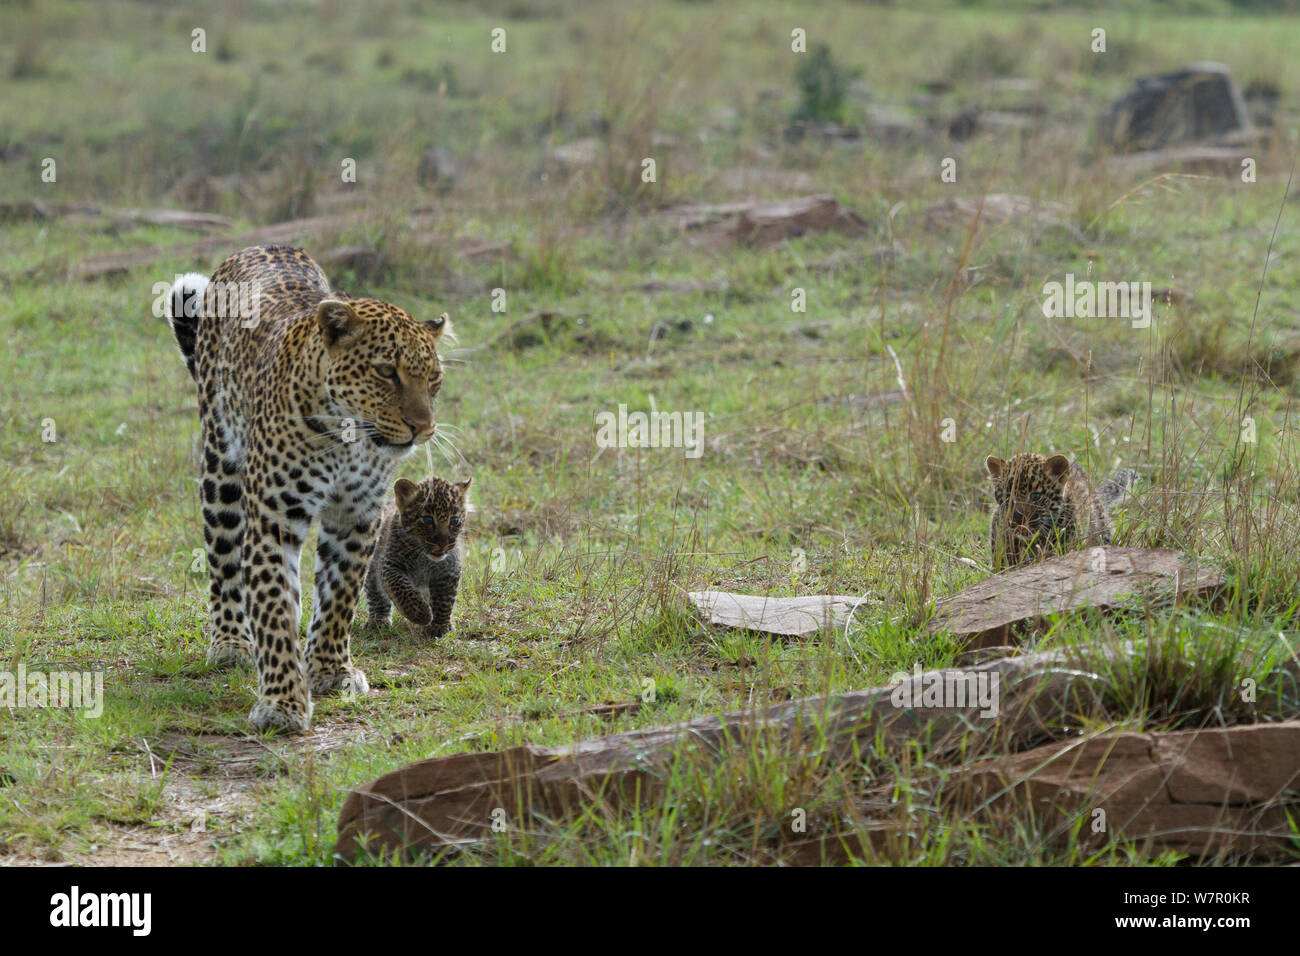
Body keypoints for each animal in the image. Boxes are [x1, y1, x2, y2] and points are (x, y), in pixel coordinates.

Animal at [167, 244, 452, 733]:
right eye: (385, 371)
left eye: (433, 378)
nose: (423, 427)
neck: (347, 439)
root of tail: (257, 247)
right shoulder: (275, 518)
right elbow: (274, 608)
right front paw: (282, 702)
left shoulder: (356, 517)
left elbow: (339, 598)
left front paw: (330, 671)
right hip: (220, 469)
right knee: (223, 563)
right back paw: (230, 642)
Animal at [364, 476, 470, 639]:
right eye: (428, 520)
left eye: (454, 520)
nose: (442, 545)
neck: (425, 558)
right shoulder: (390, 565)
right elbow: (400, 587)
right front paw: (421, 614)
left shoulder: (448, 571)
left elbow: (444, 600)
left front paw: (440, 626)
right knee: (375, 593)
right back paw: (378, 620)